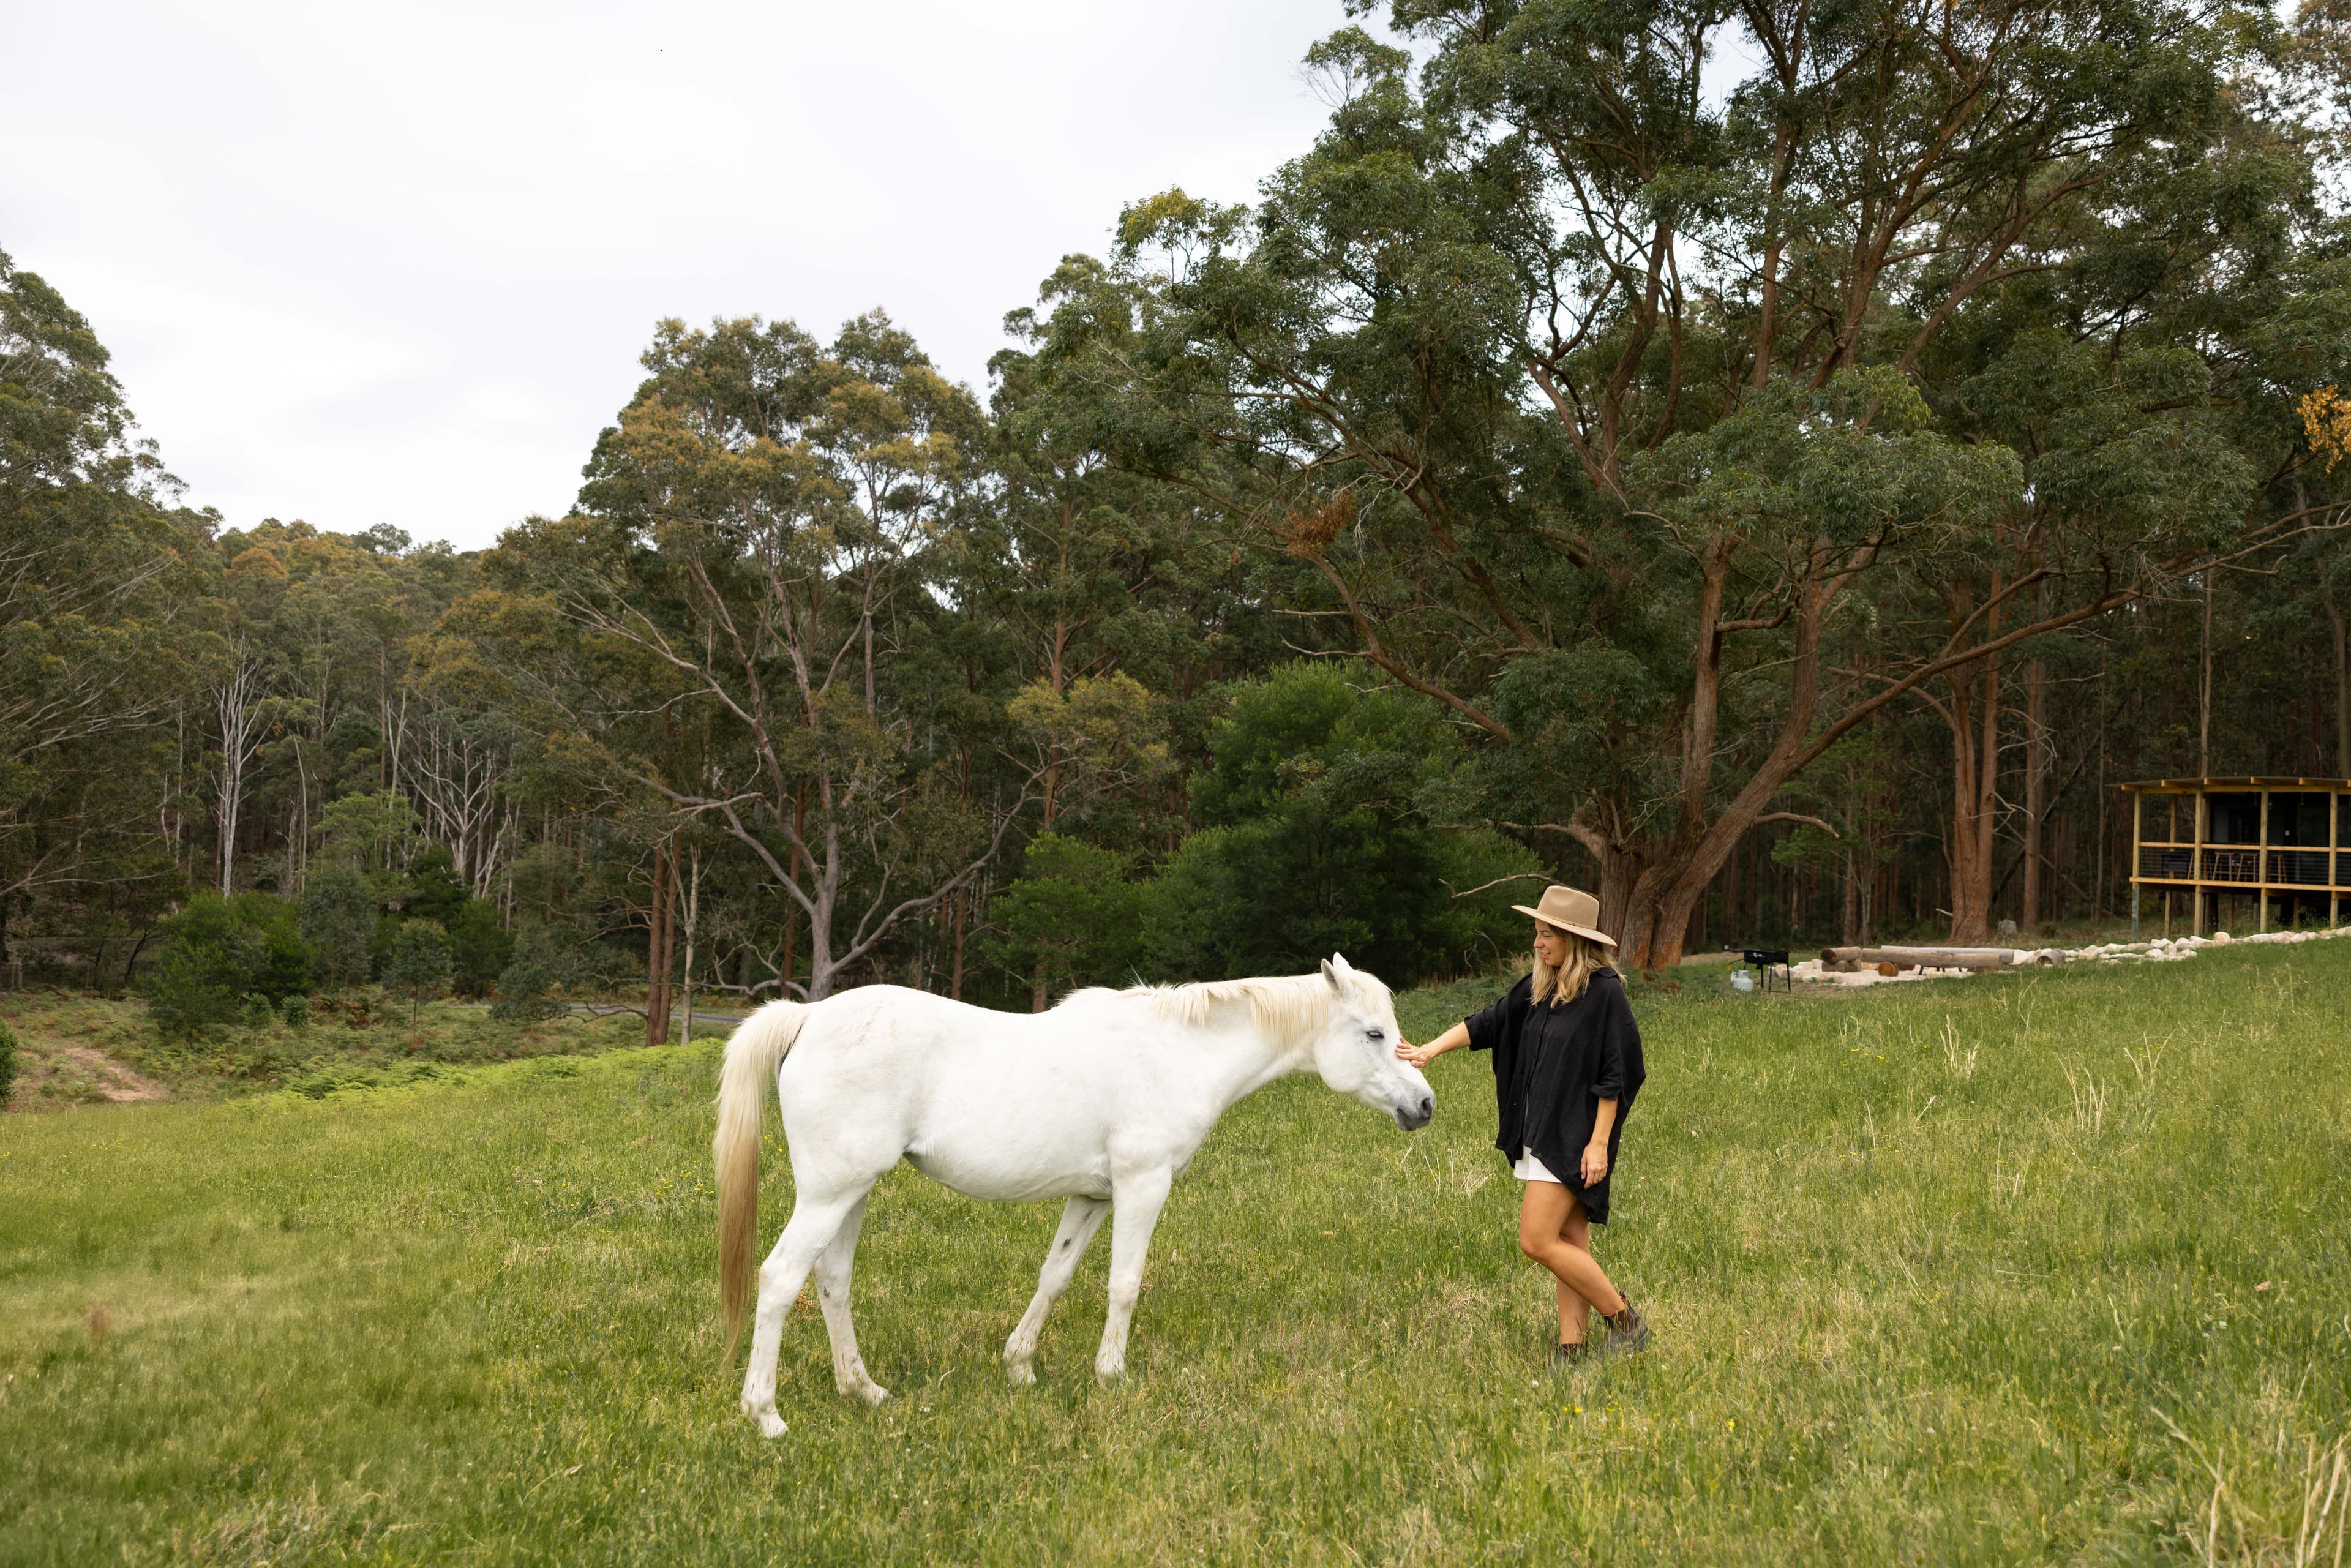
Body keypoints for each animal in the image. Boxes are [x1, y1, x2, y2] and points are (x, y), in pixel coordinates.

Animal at [712, 953, 1435, 1437]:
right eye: (1374, 1032)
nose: (1425, 1104)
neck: (1176, 1052)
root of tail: (809, 1017)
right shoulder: (1144, 1184)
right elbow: (1125, 1283)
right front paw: (1112, 1375)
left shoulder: (1094, 1197)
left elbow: (1055, 1274)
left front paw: (1020, 1366)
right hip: (829, 1195)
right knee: (780, 1278)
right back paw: (766, 1414)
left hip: (852, 1193)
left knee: (832, 1281)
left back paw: (863, 1390)